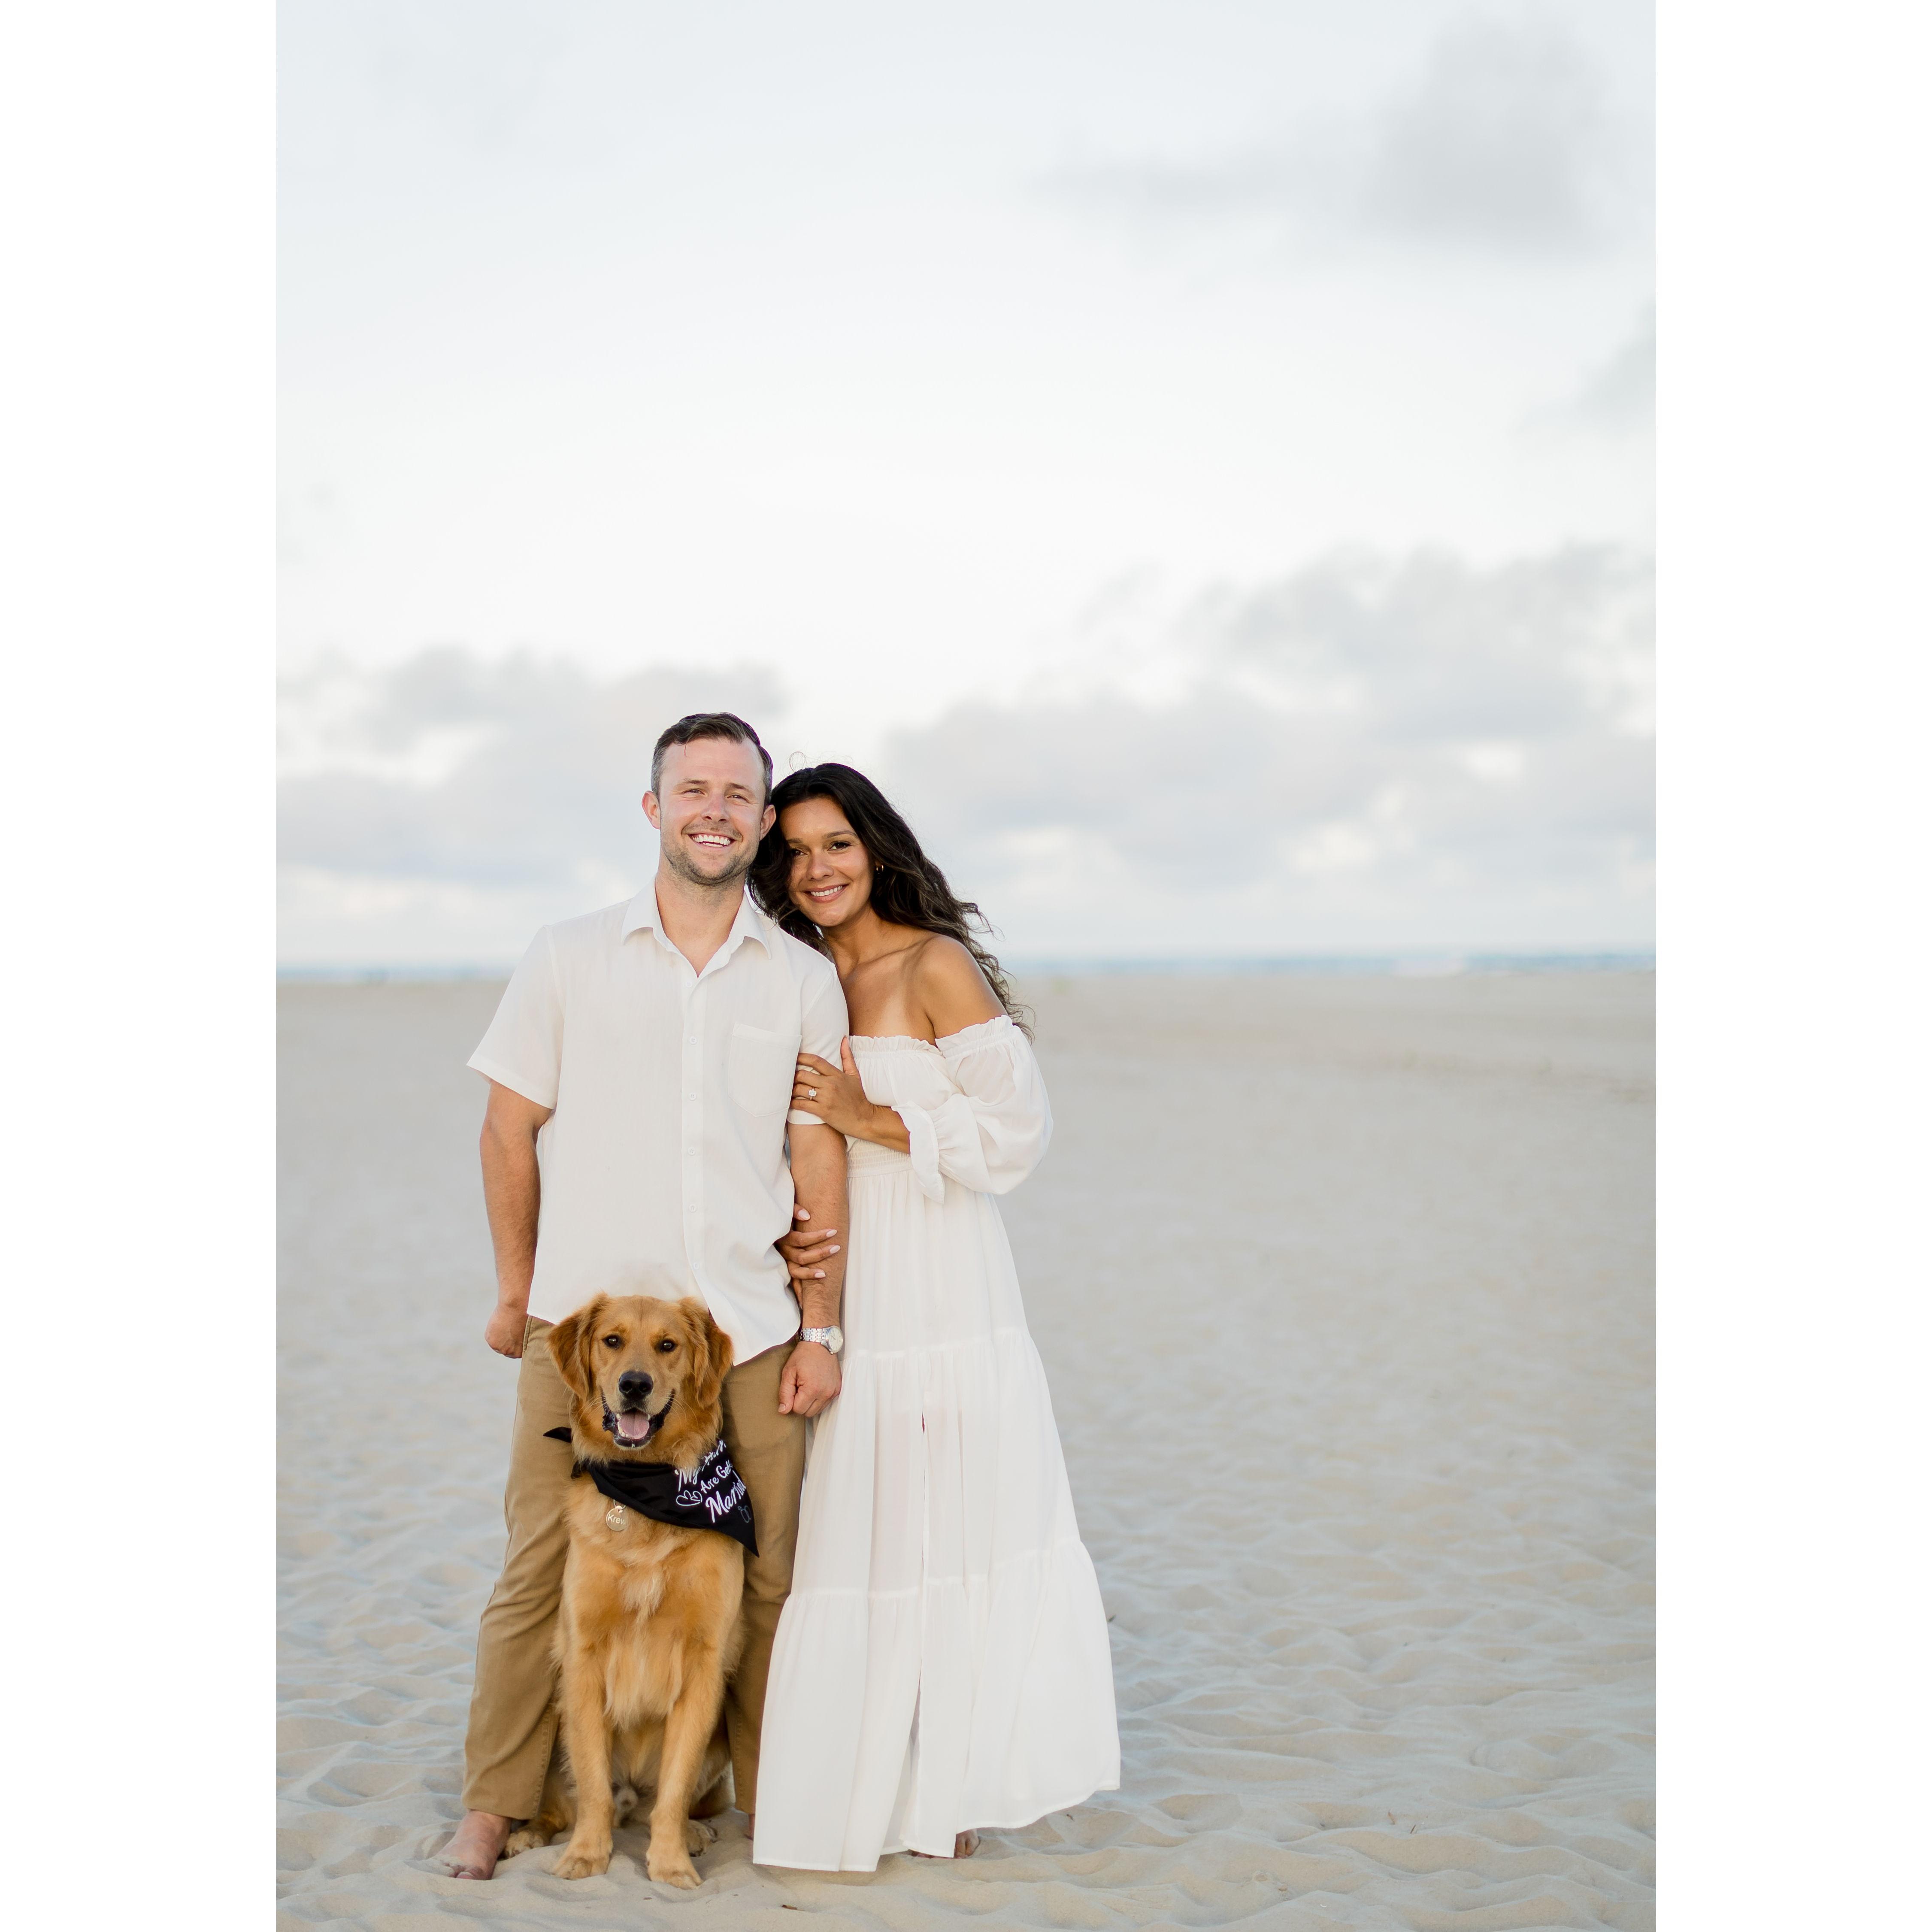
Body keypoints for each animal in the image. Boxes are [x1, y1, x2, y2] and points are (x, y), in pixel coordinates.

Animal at [501, 1293, 746, 1889]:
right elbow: (591, 1780)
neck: (645, 1487)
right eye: (611, 1340)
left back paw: (694, 1832)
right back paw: (526, 1835)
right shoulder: (583, 1654)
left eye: (667, 1344)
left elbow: (676, 1785)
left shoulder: (704, 1660)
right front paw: (586, 1855)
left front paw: (671, 1862)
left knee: (660, 1800)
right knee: (565, 1802)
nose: (634, 1384)